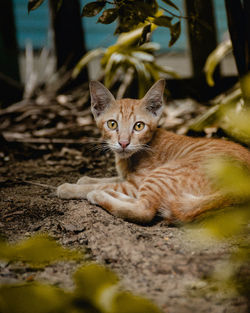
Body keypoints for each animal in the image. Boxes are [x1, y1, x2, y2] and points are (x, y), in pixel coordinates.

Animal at [57, 79, 250, 223]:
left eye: (139, 126)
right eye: (112, 124)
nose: (124, 143)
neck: (129, 159)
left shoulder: (135, 183)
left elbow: (103, 183)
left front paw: (71, 188)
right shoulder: (127, 178)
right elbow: (109, 179)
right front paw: (85, 179)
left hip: (161, 175)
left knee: (145, 210)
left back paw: (99, 195)